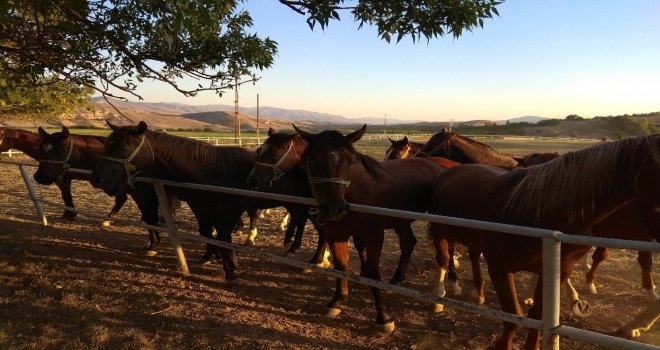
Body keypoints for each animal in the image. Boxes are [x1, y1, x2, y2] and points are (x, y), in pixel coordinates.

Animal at [89, 121, 310, 284]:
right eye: (107, 144)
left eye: (123, 147)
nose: (96, 179)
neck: (210, 170)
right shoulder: (200, 208)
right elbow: (207, 234)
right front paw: (209, 257)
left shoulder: (227, 213)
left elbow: (223, 238)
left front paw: (230, 270)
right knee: (297, 218)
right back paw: (288, 243)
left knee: (303, 220)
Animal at [296, 123, 452, 334]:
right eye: (313, 160)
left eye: (352, 161)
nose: (335, 208)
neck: (355, 193)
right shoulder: (336, 235)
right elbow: (341, 266)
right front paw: (338, 300)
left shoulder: (374, 236)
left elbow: (372, 272)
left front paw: (383, 317)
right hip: (400, 222)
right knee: (409, 243)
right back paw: (397, 278)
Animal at [428, 134, 660, 350]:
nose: (422, 155)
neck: (541, 210)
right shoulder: (499, 268)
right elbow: (513, 318)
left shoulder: (556, 271)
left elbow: (537, 316)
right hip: (442, 234)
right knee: (444, 258)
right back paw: (441, 297)